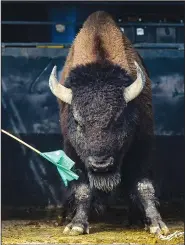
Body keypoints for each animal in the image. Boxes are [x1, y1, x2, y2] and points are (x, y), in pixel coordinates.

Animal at [48, 11, 169, 235]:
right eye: (77, 120)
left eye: (118, 119)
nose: (101, 164)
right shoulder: (73, 153)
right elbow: (83, 190)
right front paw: (76, 225)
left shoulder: (142, 145)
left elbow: (143, 186)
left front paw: (157, 225)